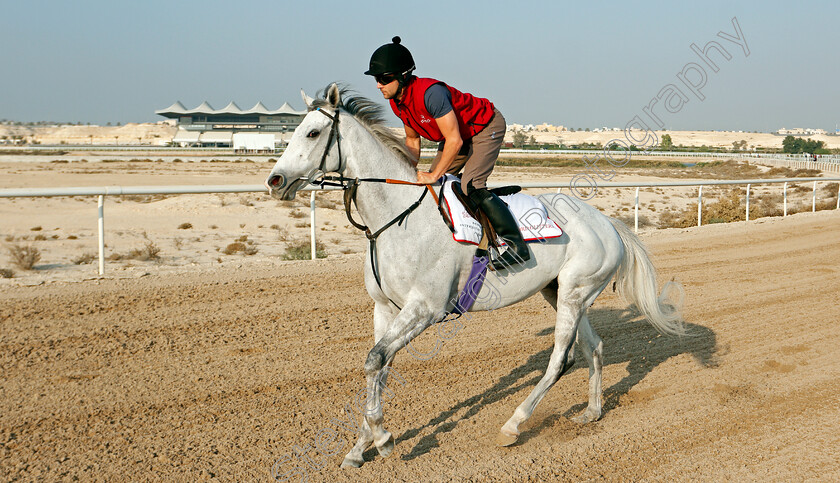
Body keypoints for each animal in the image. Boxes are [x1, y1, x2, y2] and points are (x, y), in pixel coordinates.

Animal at [266, 85, 684, 470]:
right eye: (293, 129)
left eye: (313, 132)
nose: (275, 180)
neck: (398, 218)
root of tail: (608, 223)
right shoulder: (384, 308)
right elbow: (378, 366)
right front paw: (359, 448)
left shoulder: (426, 309)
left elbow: (375, 360)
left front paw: (383, 439)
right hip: (562, 293)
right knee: (592, 347)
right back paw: (592, 412)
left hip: (574, 293)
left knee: (560, 359)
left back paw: (513, 425)